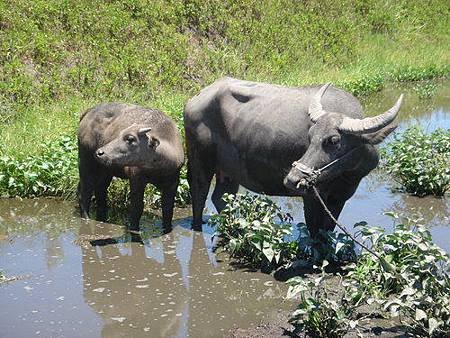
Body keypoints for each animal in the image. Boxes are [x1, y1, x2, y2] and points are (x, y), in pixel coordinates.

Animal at [78, 101, 184, 231]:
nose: (100, 152)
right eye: (119, 135)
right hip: (86, 162)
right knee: (85, 192)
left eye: (130, 138)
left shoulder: (173, 183)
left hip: (105, 170)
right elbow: (137, 207)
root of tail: (89, 111)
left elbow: (168, 209)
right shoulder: (136, 179)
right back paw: (87, 218)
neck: (158, 170)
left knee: (100, 190)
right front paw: (133, 228)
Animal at [185, 77, 402, 235]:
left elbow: (327, 232)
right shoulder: (311, 197)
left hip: (229, 171)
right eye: (310, 136)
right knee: (199, 193)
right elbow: (314, 233)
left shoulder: (338, 199)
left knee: (221, 197)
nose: (293, 179)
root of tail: (194, 99)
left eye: (334, 140)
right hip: (199, 160)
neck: (343, 176)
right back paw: (198, 227)